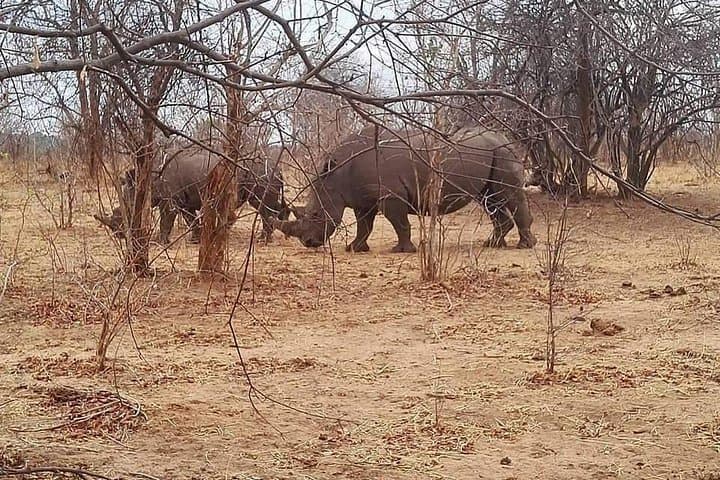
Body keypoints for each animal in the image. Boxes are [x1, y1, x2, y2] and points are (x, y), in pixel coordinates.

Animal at [95, 145, 289, 244]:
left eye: (127, 209)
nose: (119, 235)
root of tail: (279, 168)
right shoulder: (183, 200)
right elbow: (190, 219)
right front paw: (195, 240)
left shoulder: (171, 200)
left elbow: (166, 219)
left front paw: (161, 242)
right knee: (269, 206)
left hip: (262, 174)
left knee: (262, 206)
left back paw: (262, 240)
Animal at [272, 126, 537, 252]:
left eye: (316, 214)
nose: (308, 243)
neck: (336, 176)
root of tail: (506, 138)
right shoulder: (363, 198)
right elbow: (364, 225)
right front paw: (355, 248)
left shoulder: (390, 195)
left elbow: (399, 223)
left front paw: (402, 250)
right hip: (493, 154)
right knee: (491, 200)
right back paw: (492, 244)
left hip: (502, 153)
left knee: (508, 196)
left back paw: (525, 246)